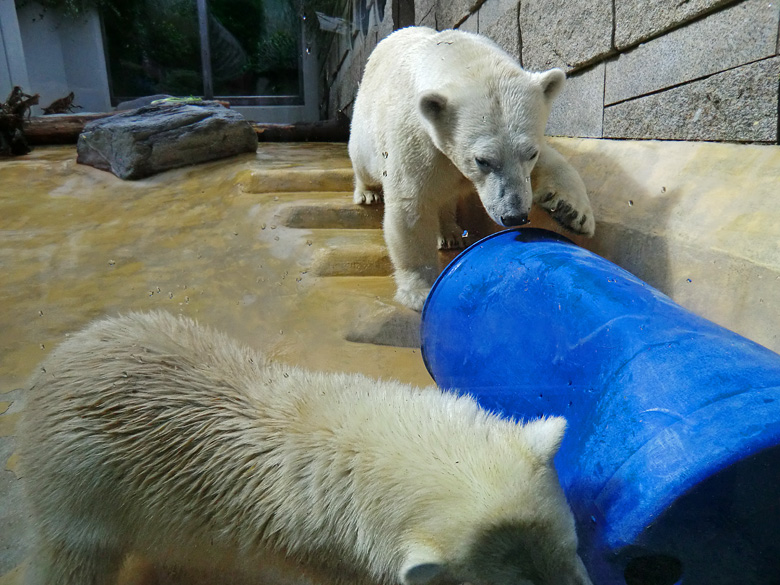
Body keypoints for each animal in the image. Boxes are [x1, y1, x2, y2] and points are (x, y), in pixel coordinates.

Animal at [350, 27, 596, 310]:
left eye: (530, 153)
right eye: (482, 160)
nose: (514, 216)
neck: (453, 53)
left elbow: (551, 161)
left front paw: (573, 213)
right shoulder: (414, 135)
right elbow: (411, 205)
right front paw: (419, 291)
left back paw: (449, 233)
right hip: (365, 127)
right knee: (363, 162)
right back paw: (367, 193)